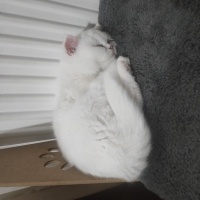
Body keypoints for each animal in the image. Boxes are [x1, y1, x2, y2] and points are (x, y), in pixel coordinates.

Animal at [53, 25, 150, 181]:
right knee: (135, 94)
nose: (111, 46)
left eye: (109, 40)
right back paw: (122, 63)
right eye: (98, 46)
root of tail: (127, 163)